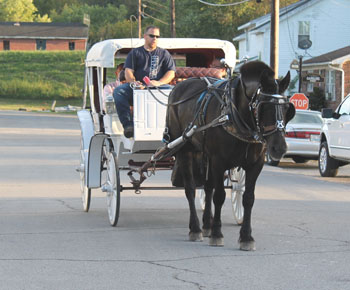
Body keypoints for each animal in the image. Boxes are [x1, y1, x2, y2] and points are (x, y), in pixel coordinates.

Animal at [165, 60, 294, 249]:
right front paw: (217, 234)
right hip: (184, 149)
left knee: (207, 187)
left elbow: (248, 198)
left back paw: (206, 225)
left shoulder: (255, 165)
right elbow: (219, 196)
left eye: (287, 109)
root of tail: (177, 87)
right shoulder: (219, 161)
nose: (279, 148)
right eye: (264, 106)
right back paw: (195, 228)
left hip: (205, 154)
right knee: (191, 189)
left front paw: (246, 237)